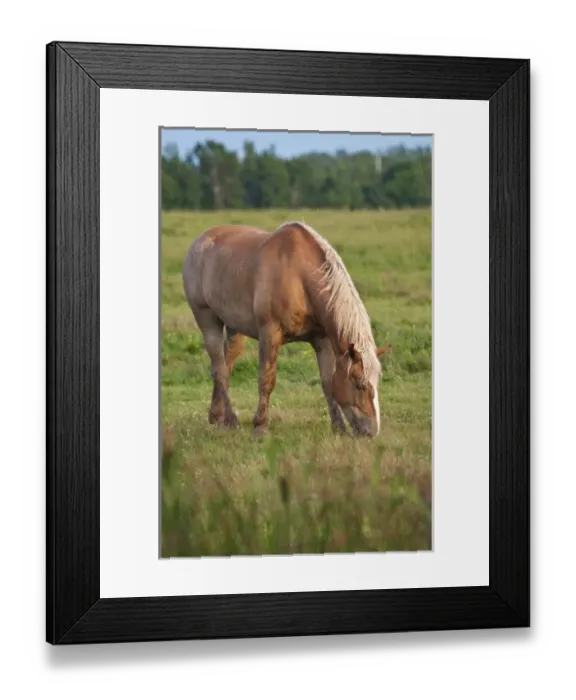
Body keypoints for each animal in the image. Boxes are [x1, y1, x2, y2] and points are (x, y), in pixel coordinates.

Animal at [182, 220, 391, 438]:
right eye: (359, 384)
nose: (372, 431)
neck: (300, 276)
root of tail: (199, 242)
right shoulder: (270, 334)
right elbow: (266, 380)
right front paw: (260, 427)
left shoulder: (322, 340)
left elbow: (327, 382)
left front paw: (338, 427)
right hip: (207, 320)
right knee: (220, 369)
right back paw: (232, 419)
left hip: (235, 330)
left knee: (226, 364)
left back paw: (217, 417)